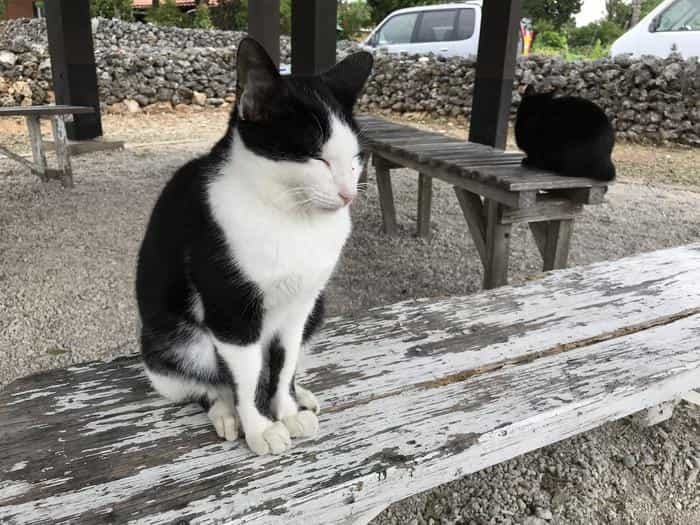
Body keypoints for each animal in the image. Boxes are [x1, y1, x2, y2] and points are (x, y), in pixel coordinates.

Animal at [139, 37, 374, 454]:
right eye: (316, 156)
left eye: (356, 158)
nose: (349, 194)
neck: (292, 218)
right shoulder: (231, 307)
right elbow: (245, 377)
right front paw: (260, 426)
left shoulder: (301, 306)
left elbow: (285, 364)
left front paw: (288, 409)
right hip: (172, 344)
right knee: (205, 382)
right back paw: (224, 411)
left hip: (318, 309)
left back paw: (301, 395)